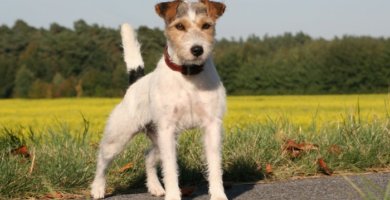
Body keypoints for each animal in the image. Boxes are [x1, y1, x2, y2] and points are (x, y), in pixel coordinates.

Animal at [90, 0, 229, 199]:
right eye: (180, 26)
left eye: (206, 25)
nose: (197, 50)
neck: (188, 74)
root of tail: (136, 81)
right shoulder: (167, 128)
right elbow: (170, 168)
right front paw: (173, 195)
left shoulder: (212, 125)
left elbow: (214, 165)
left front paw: (218, 195)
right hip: (118, 138)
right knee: (102, 160)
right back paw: (98, 189)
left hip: (158, 139)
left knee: (148, 157)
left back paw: (155, 187)